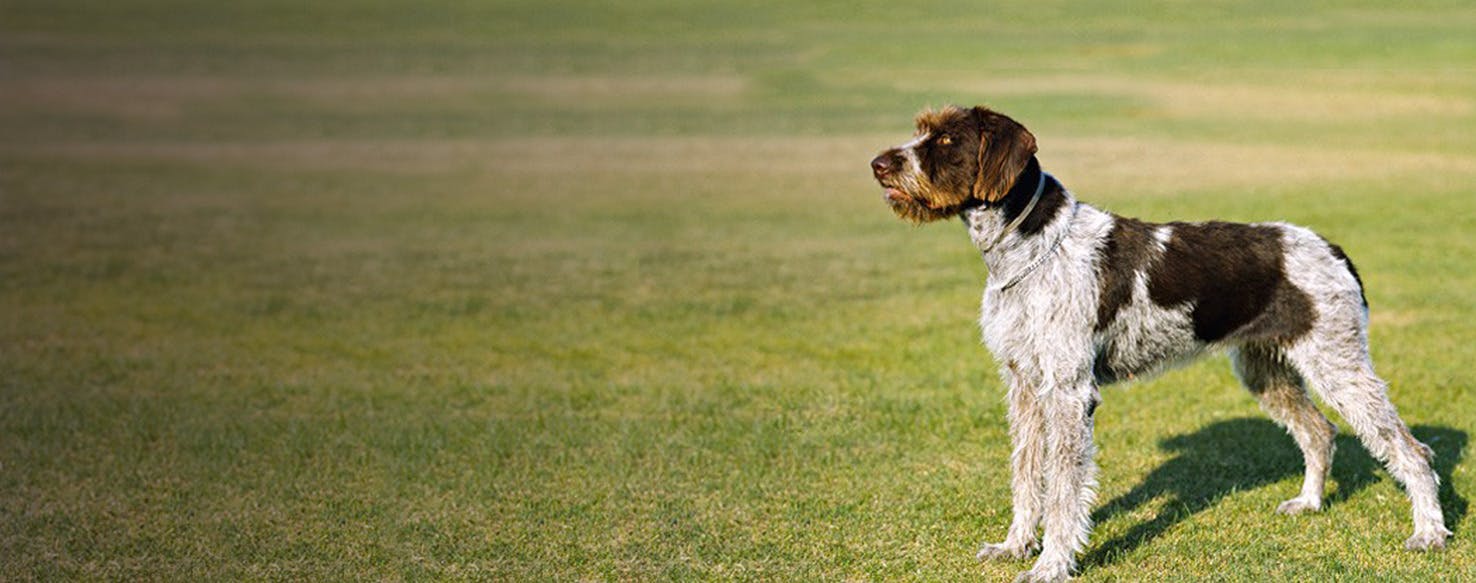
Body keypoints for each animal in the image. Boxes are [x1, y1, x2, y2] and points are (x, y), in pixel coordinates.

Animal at [867, 107, 1446, 581]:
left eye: (946, 140)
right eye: (923, 130)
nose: (878, 164)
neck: (1030, 247)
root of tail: (1333, 249)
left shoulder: (1069, 392)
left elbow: (1063, 491)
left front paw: (1052, 565)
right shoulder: (1026, 388)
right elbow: (1027, 476)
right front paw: (1015, 547)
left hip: (1338, 365)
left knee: (1411, 450)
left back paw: (1429, 533)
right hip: (1266, 370)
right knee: (1319, 433)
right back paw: (1309, 503)